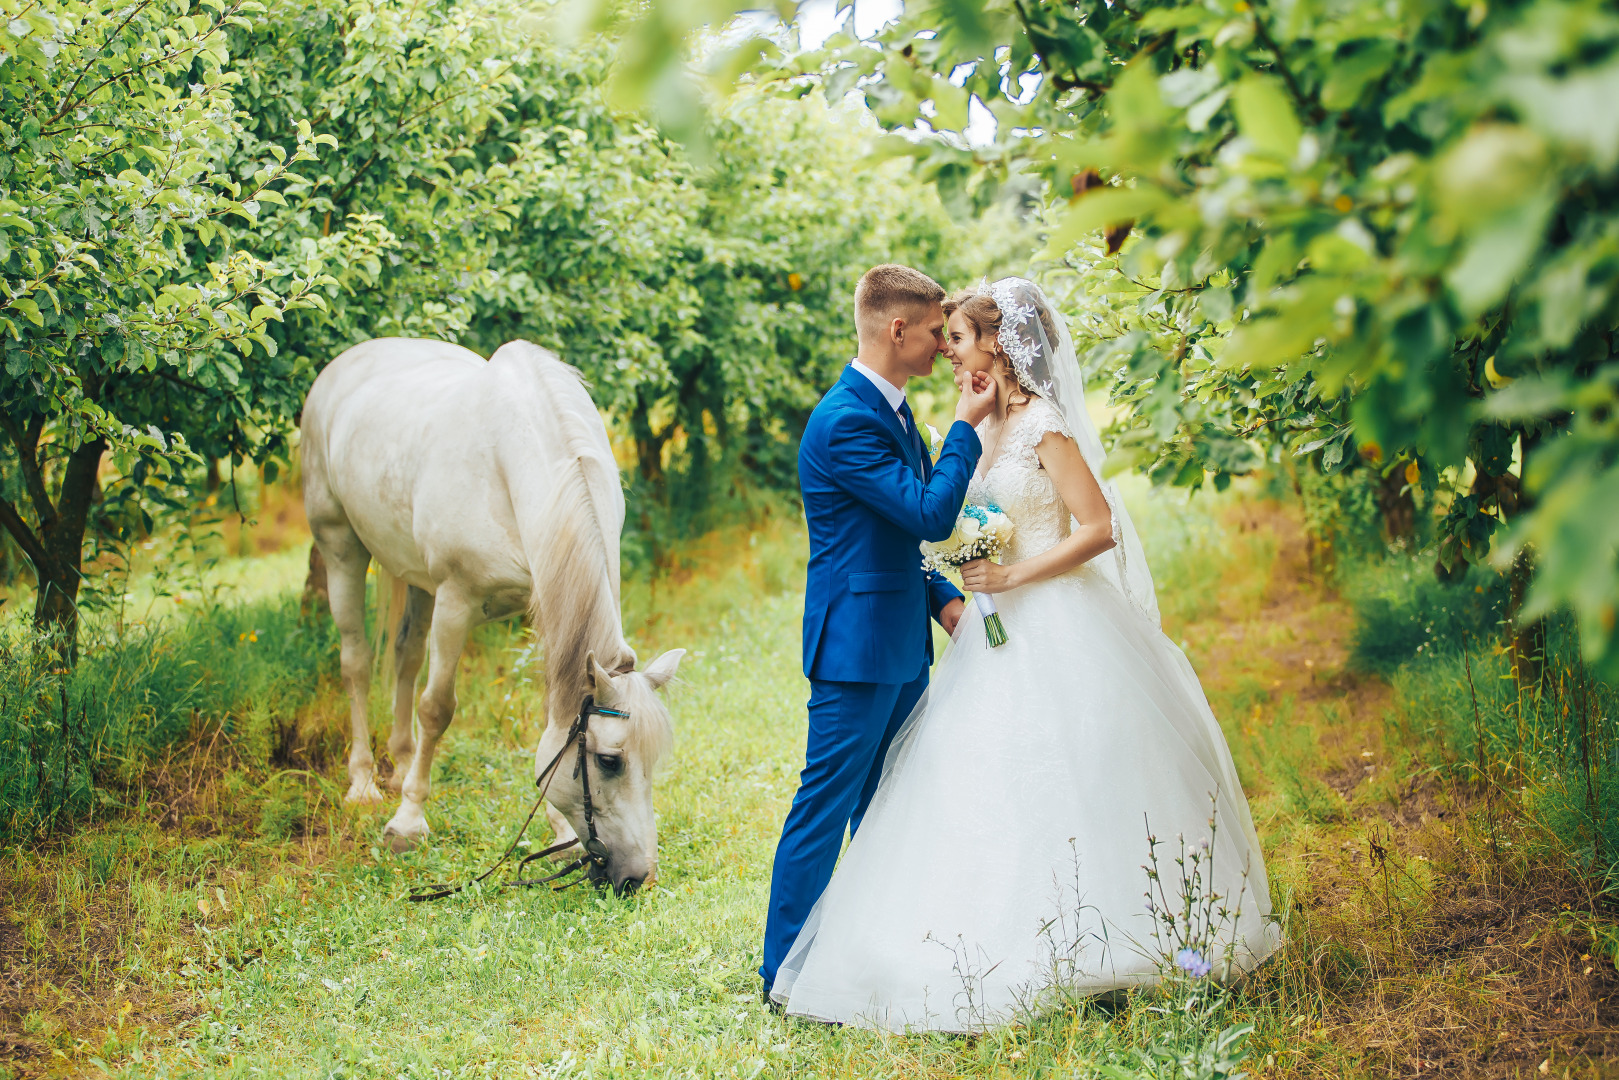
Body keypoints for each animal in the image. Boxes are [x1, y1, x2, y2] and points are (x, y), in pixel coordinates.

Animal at [299, 340, 683, 893]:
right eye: (609, 762)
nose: (637, 877)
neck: (516, 459)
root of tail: (344, 364)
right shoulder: (455, 602)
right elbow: (437, 708)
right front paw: (408, 822)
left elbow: (549, 722)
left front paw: (559, 832)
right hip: (341, 547)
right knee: (357, 662)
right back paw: (365, 782)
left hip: (416, 579)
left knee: (405, 656)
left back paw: (401, 763)